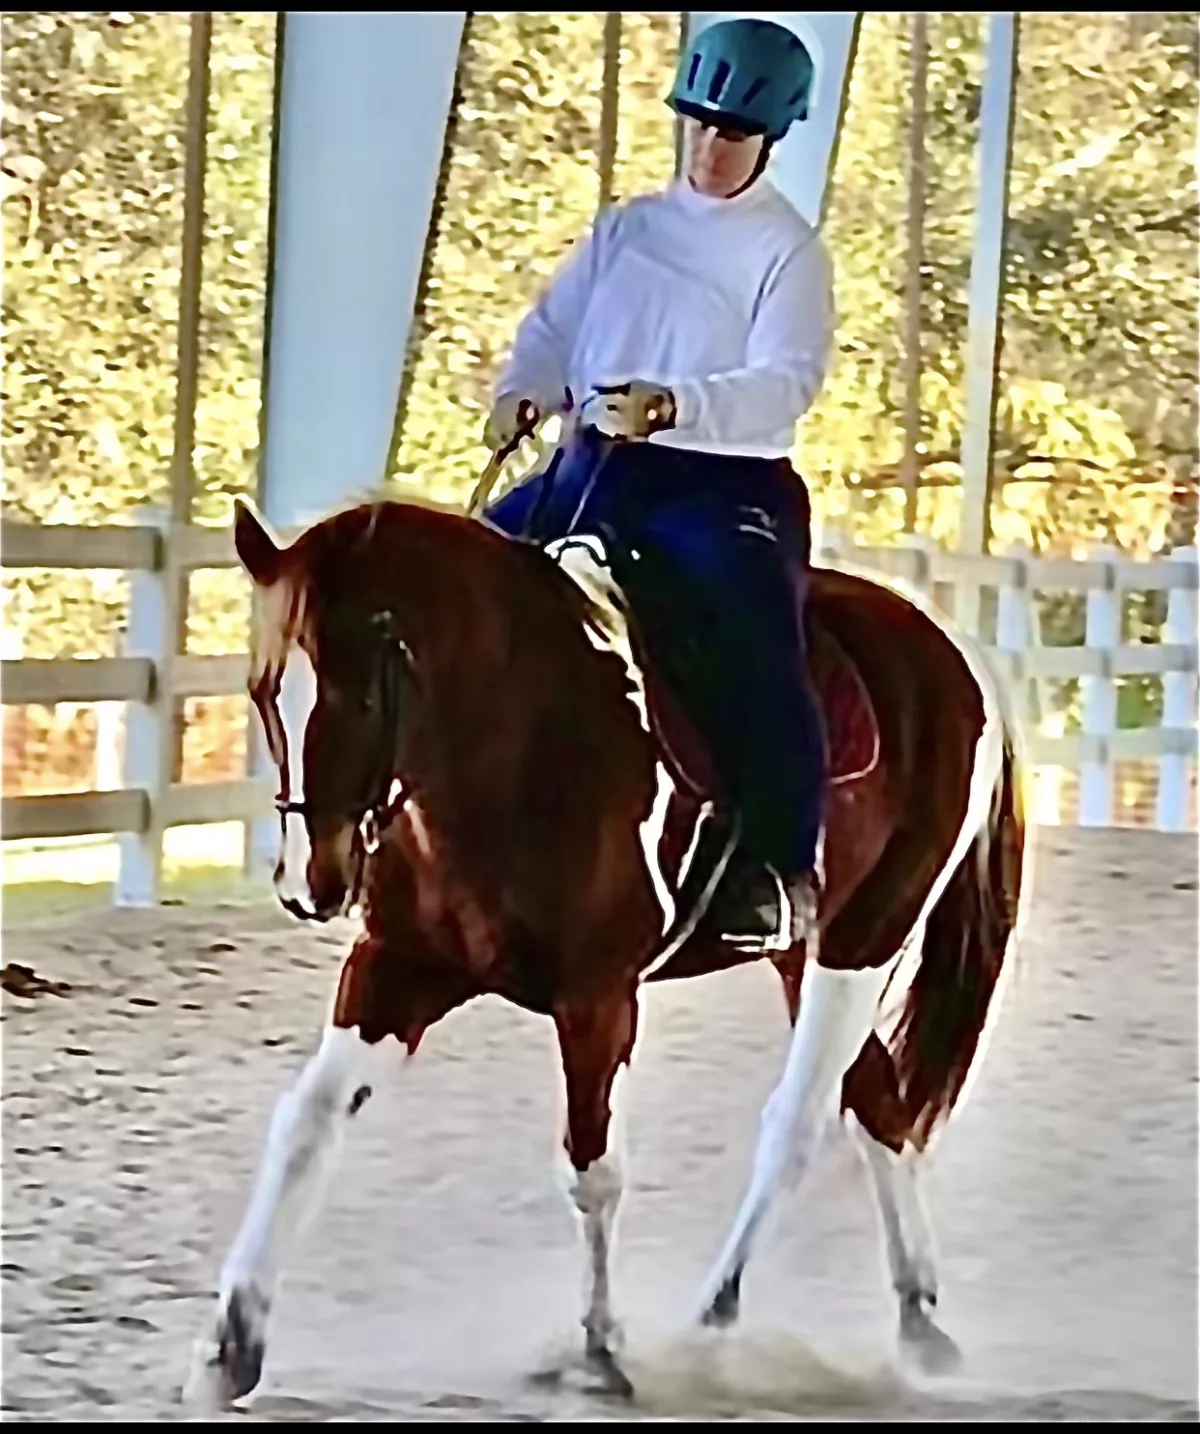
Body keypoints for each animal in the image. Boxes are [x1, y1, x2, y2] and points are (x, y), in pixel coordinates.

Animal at [185, 466, 1028, 1408]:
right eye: (264, 690)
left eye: (360, 696)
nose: (312, 883)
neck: (511, 732)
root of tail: (951, 650)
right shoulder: (399, 969)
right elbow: (308, 1120)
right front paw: (231, 1344)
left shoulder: (597, 998)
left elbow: (593, 1170)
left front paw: (598, 1349)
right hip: (805, 953)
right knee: (878, 1107)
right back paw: (918, 1323)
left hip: (867, 935)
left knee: (799, 1124)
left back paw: (712, 1321)